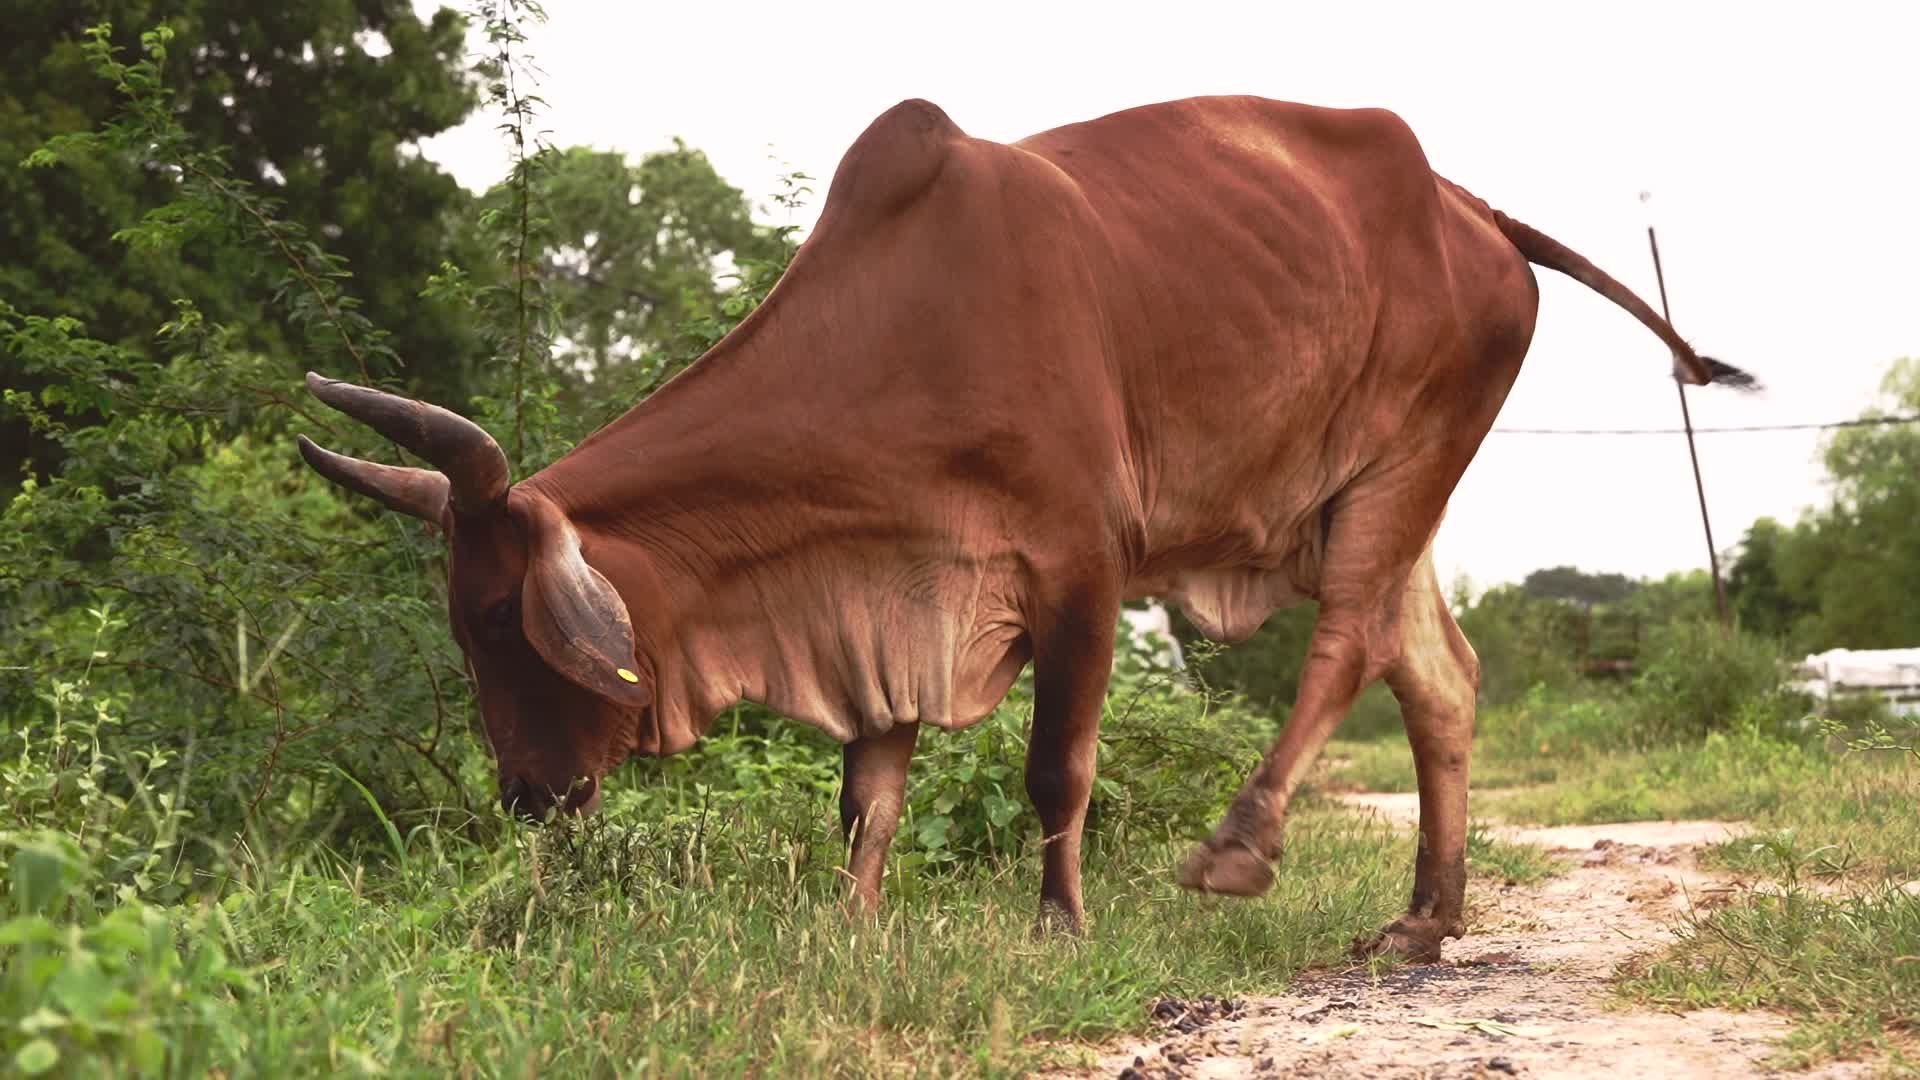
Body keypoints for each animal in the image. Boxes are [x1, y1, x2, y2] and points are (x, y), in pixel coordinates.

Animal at [298, 95, 1751, 962]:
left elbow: (1058, 767)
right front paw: (855, 922)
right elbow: (869, 790)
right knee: (1440, 678)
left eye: (506, 616)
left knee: (1346, 648)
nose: (528, 795)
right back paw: (1424, 922)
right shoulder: (890, 590)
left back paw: (1242, 847)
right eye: (461, 623)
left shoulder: (1081, 566)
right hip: (1367, 494)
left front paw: (1058, 925)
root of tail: (1472, 209)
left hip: (1404, 458)